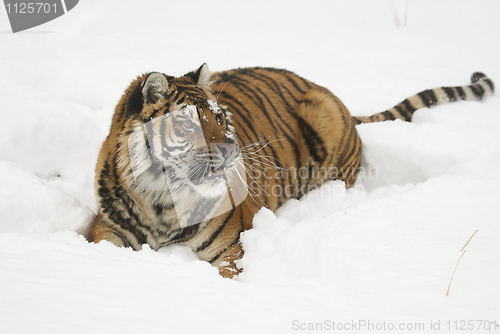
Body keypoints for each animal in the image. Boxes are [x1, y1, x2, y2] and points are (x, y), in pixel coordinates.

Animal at [92, 64, 494, 278]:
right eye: (189, 123)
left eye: (219, 118)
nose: (231, 148)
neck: (162, 201)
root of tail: (341, 103)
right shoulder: (106, 228)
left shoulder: (232, 248)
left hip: (323, 119)